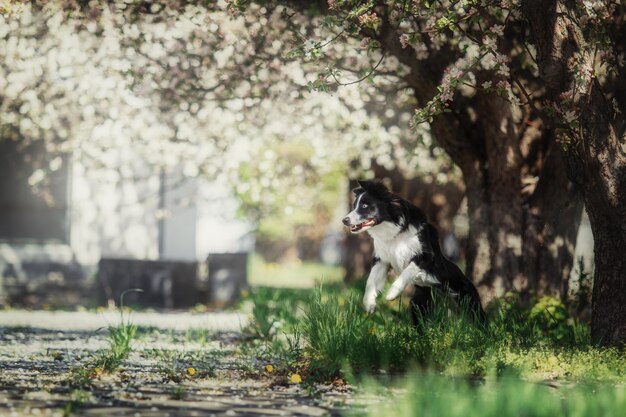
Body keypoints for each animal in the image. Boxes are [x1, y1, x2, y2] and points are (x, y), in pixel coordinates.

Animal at [342, 179, 482, 322]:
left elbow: (408, 270)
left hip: (468, 300)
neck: (394, 232)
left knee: (478, 319)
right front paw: (369, 303)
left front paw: (392, 294)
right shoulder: (382, 260)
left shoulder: (426, 256)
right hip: (418, 304)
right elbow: (370, 281)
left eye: (364, 206)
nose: (344, 220)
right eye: (354, 206)